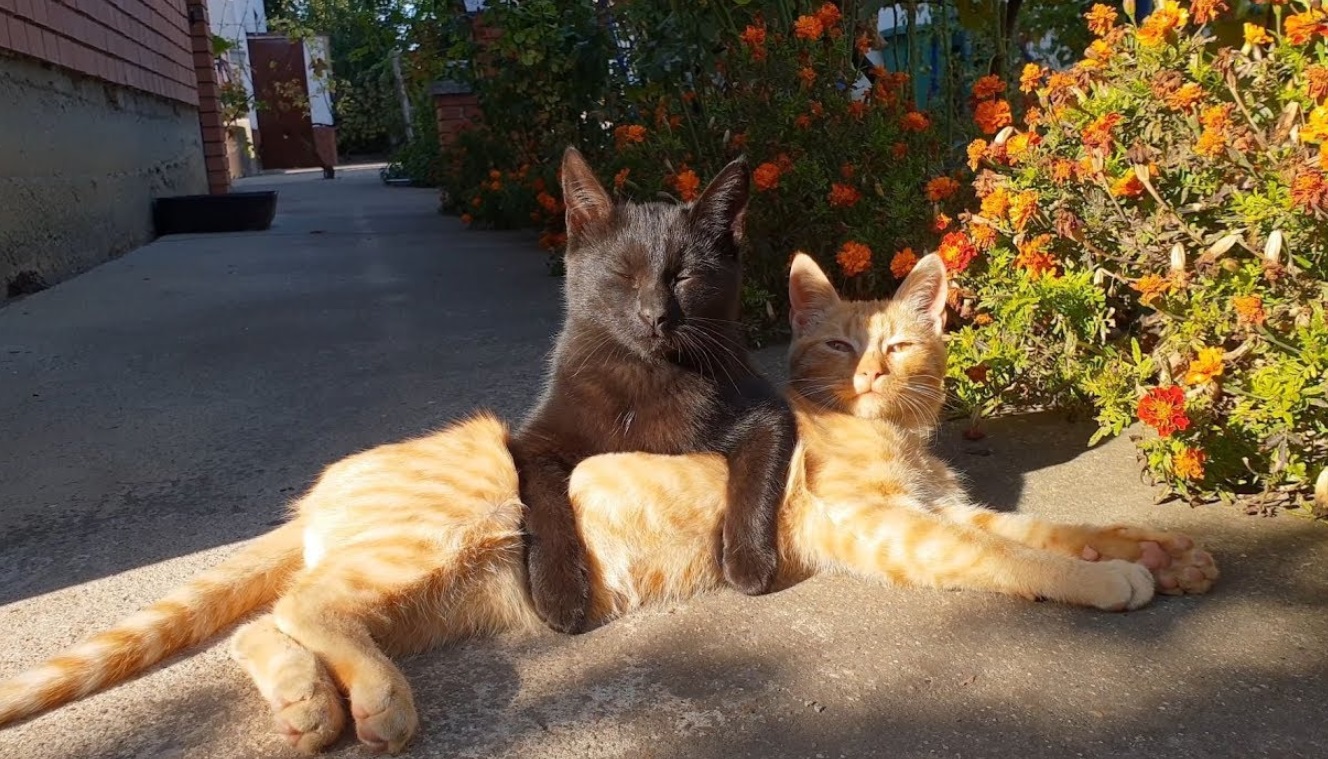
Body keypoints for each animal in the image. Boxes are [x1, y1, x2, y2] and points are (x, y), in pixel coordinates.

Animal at [0, 252, 1216, 748]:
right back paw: (371, 704)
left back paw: (311, 705)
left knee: (264, 625)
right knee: (292, 609)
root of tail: (321, 491)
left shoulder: (946, 509)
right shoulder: (887, 526)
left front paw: (1165, 554)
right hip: (436, 545)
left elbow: (1050, 527)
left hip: (446, 591)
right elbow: (1025, 558)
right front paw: (1116, 579)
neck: (894, 440)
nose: (872, 373)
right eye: (836, 345)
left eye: (901, 348)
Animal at [507, 147, 791, 634]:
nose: (654, 315)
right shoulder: (534, 442)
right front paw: (560, 592)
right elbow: (545, 503)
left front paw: (749, 561)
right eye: (624, 274)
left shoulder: (766, 410)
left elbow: (756, 477)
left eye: (683, 277)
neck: (648, 374)